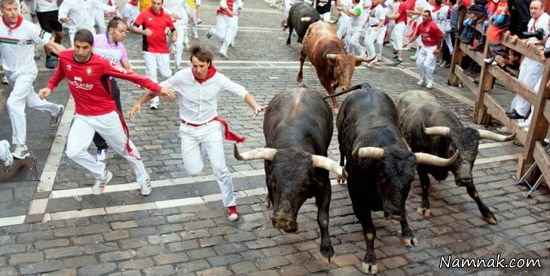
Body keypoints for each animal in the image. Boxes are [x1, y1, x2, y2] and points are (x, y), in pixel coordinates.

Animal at [234, 89, 344, 260]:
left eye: (304, 185)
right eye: (274, 183)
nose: (282, 220)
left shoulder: (325, 186)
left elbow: (323, 218)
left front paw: (327, 248)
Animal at [336, 83, 458, 274]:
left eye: (410, 179)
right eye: (382, 176)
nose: (394, 212)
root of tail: (367, 87)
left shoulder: (401, 200)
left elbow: (405, 211)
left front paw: (408, 233)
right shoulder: (357, 200)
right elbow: (370, 231)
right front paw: (370, 260)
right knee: (341, 151)